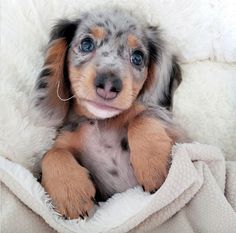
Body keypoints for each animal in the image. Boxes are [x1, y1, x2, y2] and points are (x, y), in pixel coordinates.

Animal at [34, 8, 183, 219]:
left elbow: (142, 117)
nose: (108, 84)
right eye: (86, 44)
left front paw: (152, 165)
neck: (100, 123)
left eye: (138, 57)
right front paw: (72, 194)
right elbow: (52, 153)